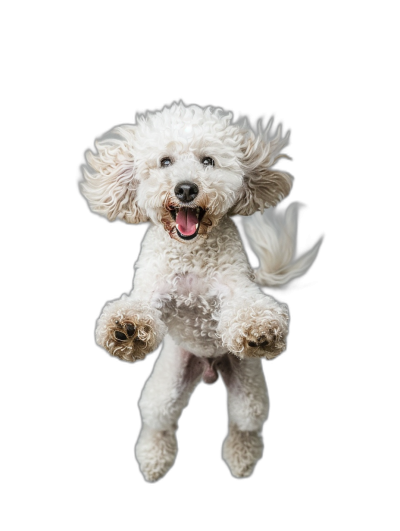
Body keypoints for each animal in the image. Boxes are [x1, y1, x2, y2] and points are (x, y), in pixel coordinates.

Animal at [78, 103, 322, 482]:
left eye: (208, 160)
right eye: (165, 161)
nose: (186, 189)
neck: (191, 250)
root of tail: (209, 368)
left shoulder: (235, 284)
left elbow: (246, 305)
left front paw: (259, 328)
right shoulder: (153, 287)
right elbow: (141, 305)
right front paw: (126, 328)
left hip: (250, 391)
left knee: (245, 424)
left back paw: (241, 456)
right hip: (165, 387)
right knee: (158, 421)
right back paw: (154, 458)